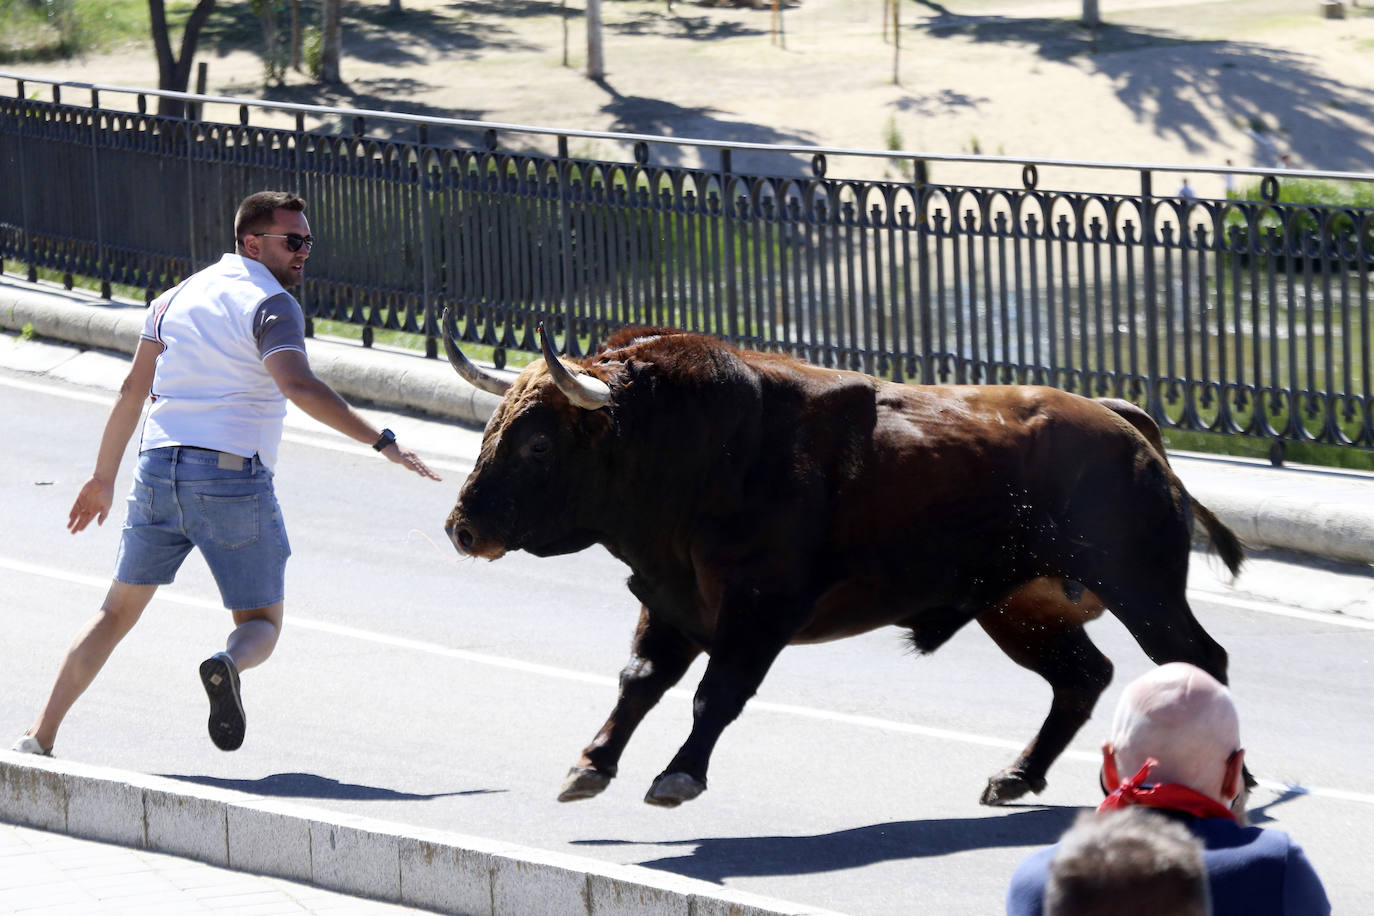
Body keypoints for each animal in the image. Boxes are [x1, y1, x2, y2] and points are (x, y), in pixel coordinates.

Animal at [442, 321, 1247, 807]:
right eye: (492, 430)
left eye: (538, 443)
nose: (461, 528)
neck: (705, 445)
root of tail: (1121, 420)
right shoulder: (669, 601)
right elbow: (639, 681)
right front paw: (591, 764)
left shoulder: (758, 611)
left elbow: (714, 694)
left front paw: (678, 774)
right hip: (1018, 609)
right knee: (1084, 676)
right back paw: (1016, 776)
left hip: (1143, 590)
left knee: (1198, 659)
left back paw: (1227, 782)